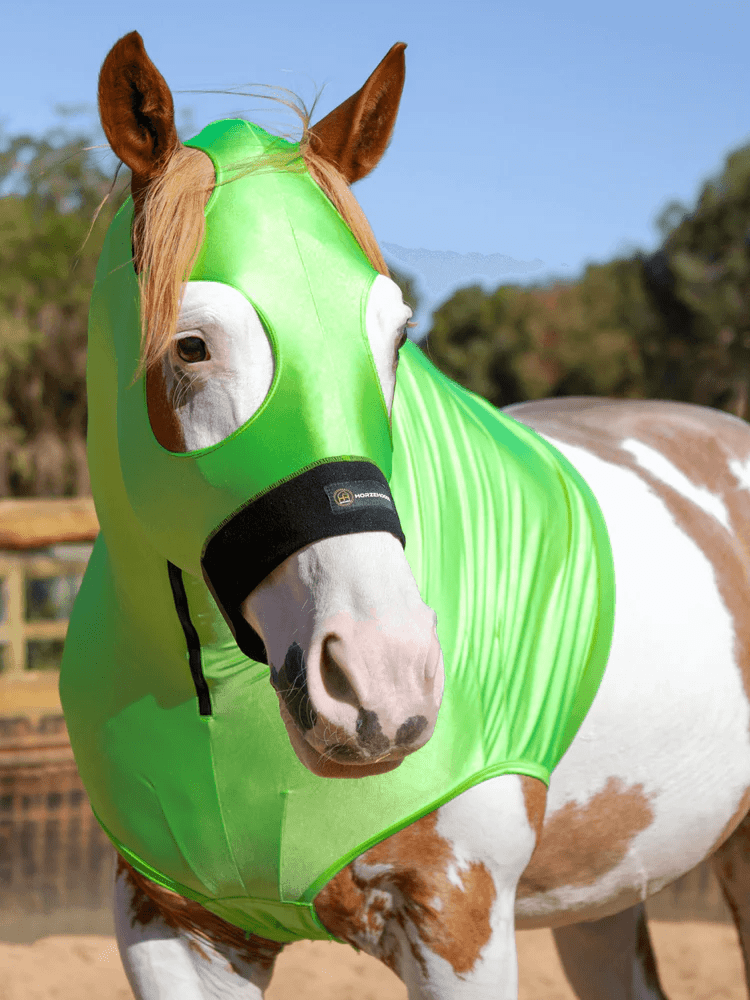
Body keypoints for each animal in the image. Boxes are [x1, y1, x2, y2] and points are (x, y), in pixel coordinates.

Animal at [59, 30, 750, 1000]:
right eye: (191, 345)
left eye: (395, 336)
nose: (383, 683)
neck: (217, 697)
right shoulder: (173, 927)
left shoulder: (457, 918)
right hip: (604, 898)